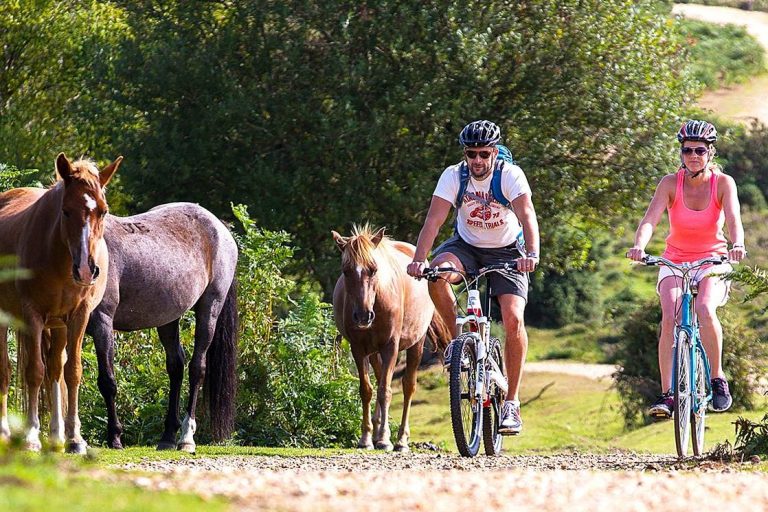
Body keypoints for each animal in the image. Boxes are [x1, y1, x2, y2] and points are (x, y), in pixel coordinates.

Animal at [0, 152, 120, 452]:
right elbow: (34, 371)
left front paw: (74, 438)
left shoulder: (78, 316)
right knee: (6, 370)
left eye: (103, 210)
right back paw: (6, 433)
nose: (87, 270)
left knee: (56, 367)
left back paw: (57, 435)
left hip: (59, 326)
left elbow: (71, 372)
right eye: (66, 211)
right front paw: (31, 435)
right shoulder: (32, 315)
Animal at [85, 202, 237, 450]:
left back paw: (186, 437)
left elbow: (107, 382)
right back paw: (167, 436)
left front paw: (115, 438)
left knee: (197, 368)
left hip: (210, 310)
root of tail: (218, 225)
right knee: (176, 366)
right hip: (168, 319)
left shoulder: (102, 324)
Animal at [330, 226, 450, 450]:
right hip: (374, 352)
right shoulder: (358, 349)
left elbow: (385, 391)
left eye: (373, 269)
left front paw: (385, 439)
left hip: (415, 344)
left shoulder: (390, 347)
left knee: (408, 386)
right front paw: (366, 438)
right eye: (345, 271)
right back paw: (377, 433)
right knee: (379, 380)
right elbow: (367, 390)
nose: (363, 316)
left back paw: (401, 439)